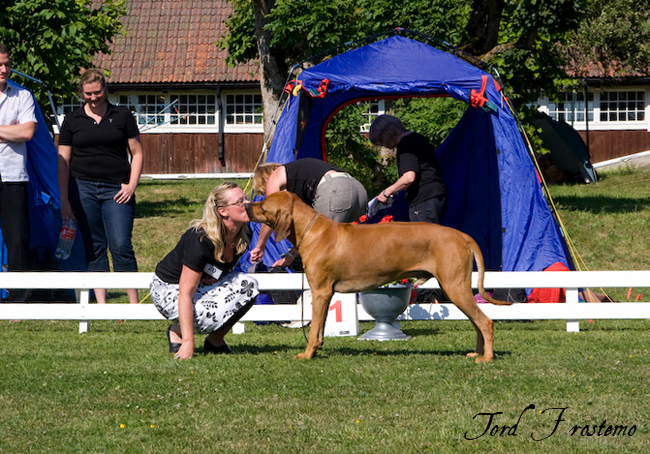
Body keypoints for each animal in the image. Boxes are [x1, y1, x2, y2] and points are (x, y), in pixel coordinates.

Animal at [246, 192, 508, 362]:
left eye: (263, 205)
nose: (247, 206)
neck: (312, 231)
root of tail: (461, 235)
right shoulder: (325, 295)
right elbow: (319, 330)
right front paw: (317, 350)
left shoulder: (320, 292)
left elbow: (313, 330)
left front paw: (308, 354)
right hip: (457, 289)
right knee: (477, 322)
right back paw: (477, 352)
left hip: (454, 287)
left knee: (485, 322)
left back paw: (487, 358)